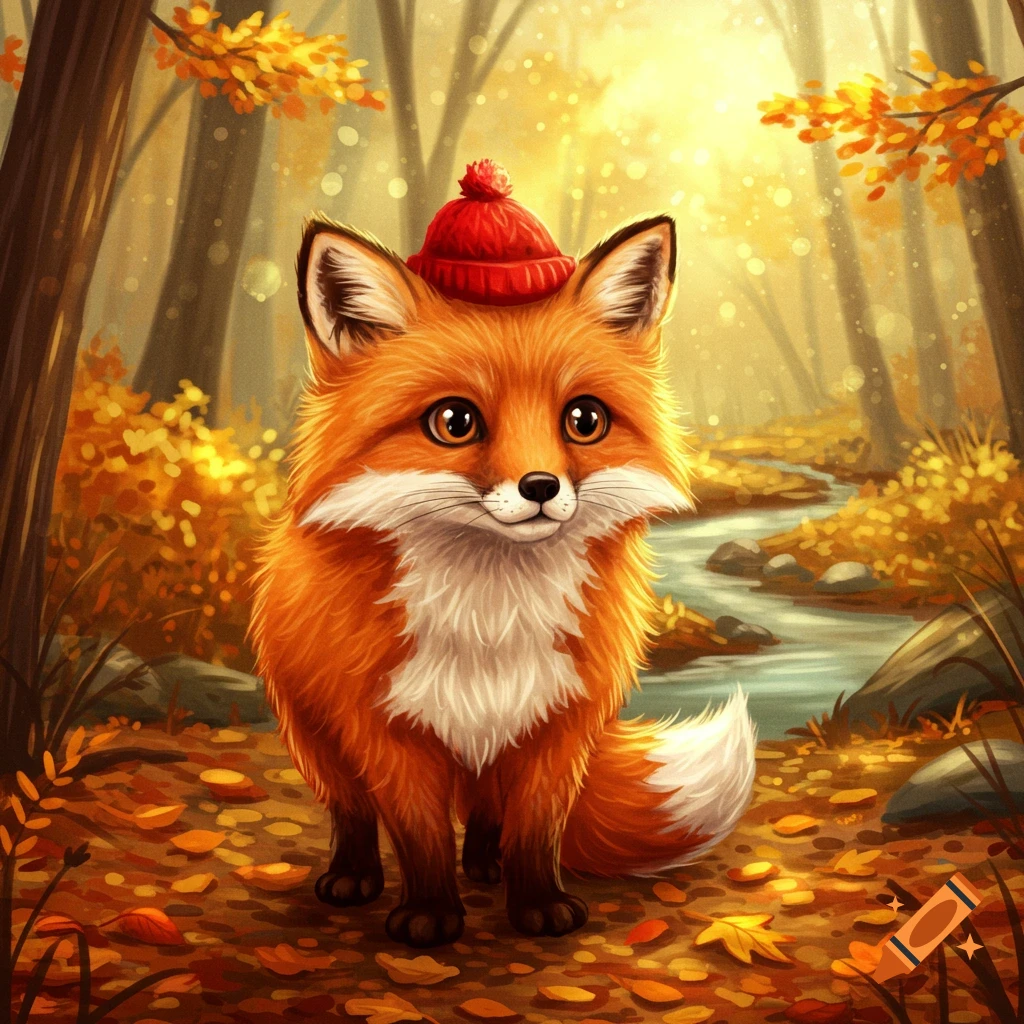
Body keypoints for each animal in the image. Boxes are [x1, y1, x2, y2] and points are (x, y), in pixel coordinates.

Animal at [251, 186, 756, 948]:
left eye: (584, 419)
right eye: (455, 421)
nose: (541, 486)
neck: (490, 617)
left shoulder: (558, 720)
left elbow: (536, 831)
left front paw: (538, 906)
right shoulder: (385, 728)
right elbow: (420, 834)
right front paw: (429, 916)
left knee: (490, 815)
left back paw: (486, 867)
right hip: (313, 735)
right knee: (351, 812)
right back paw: (353, 877)